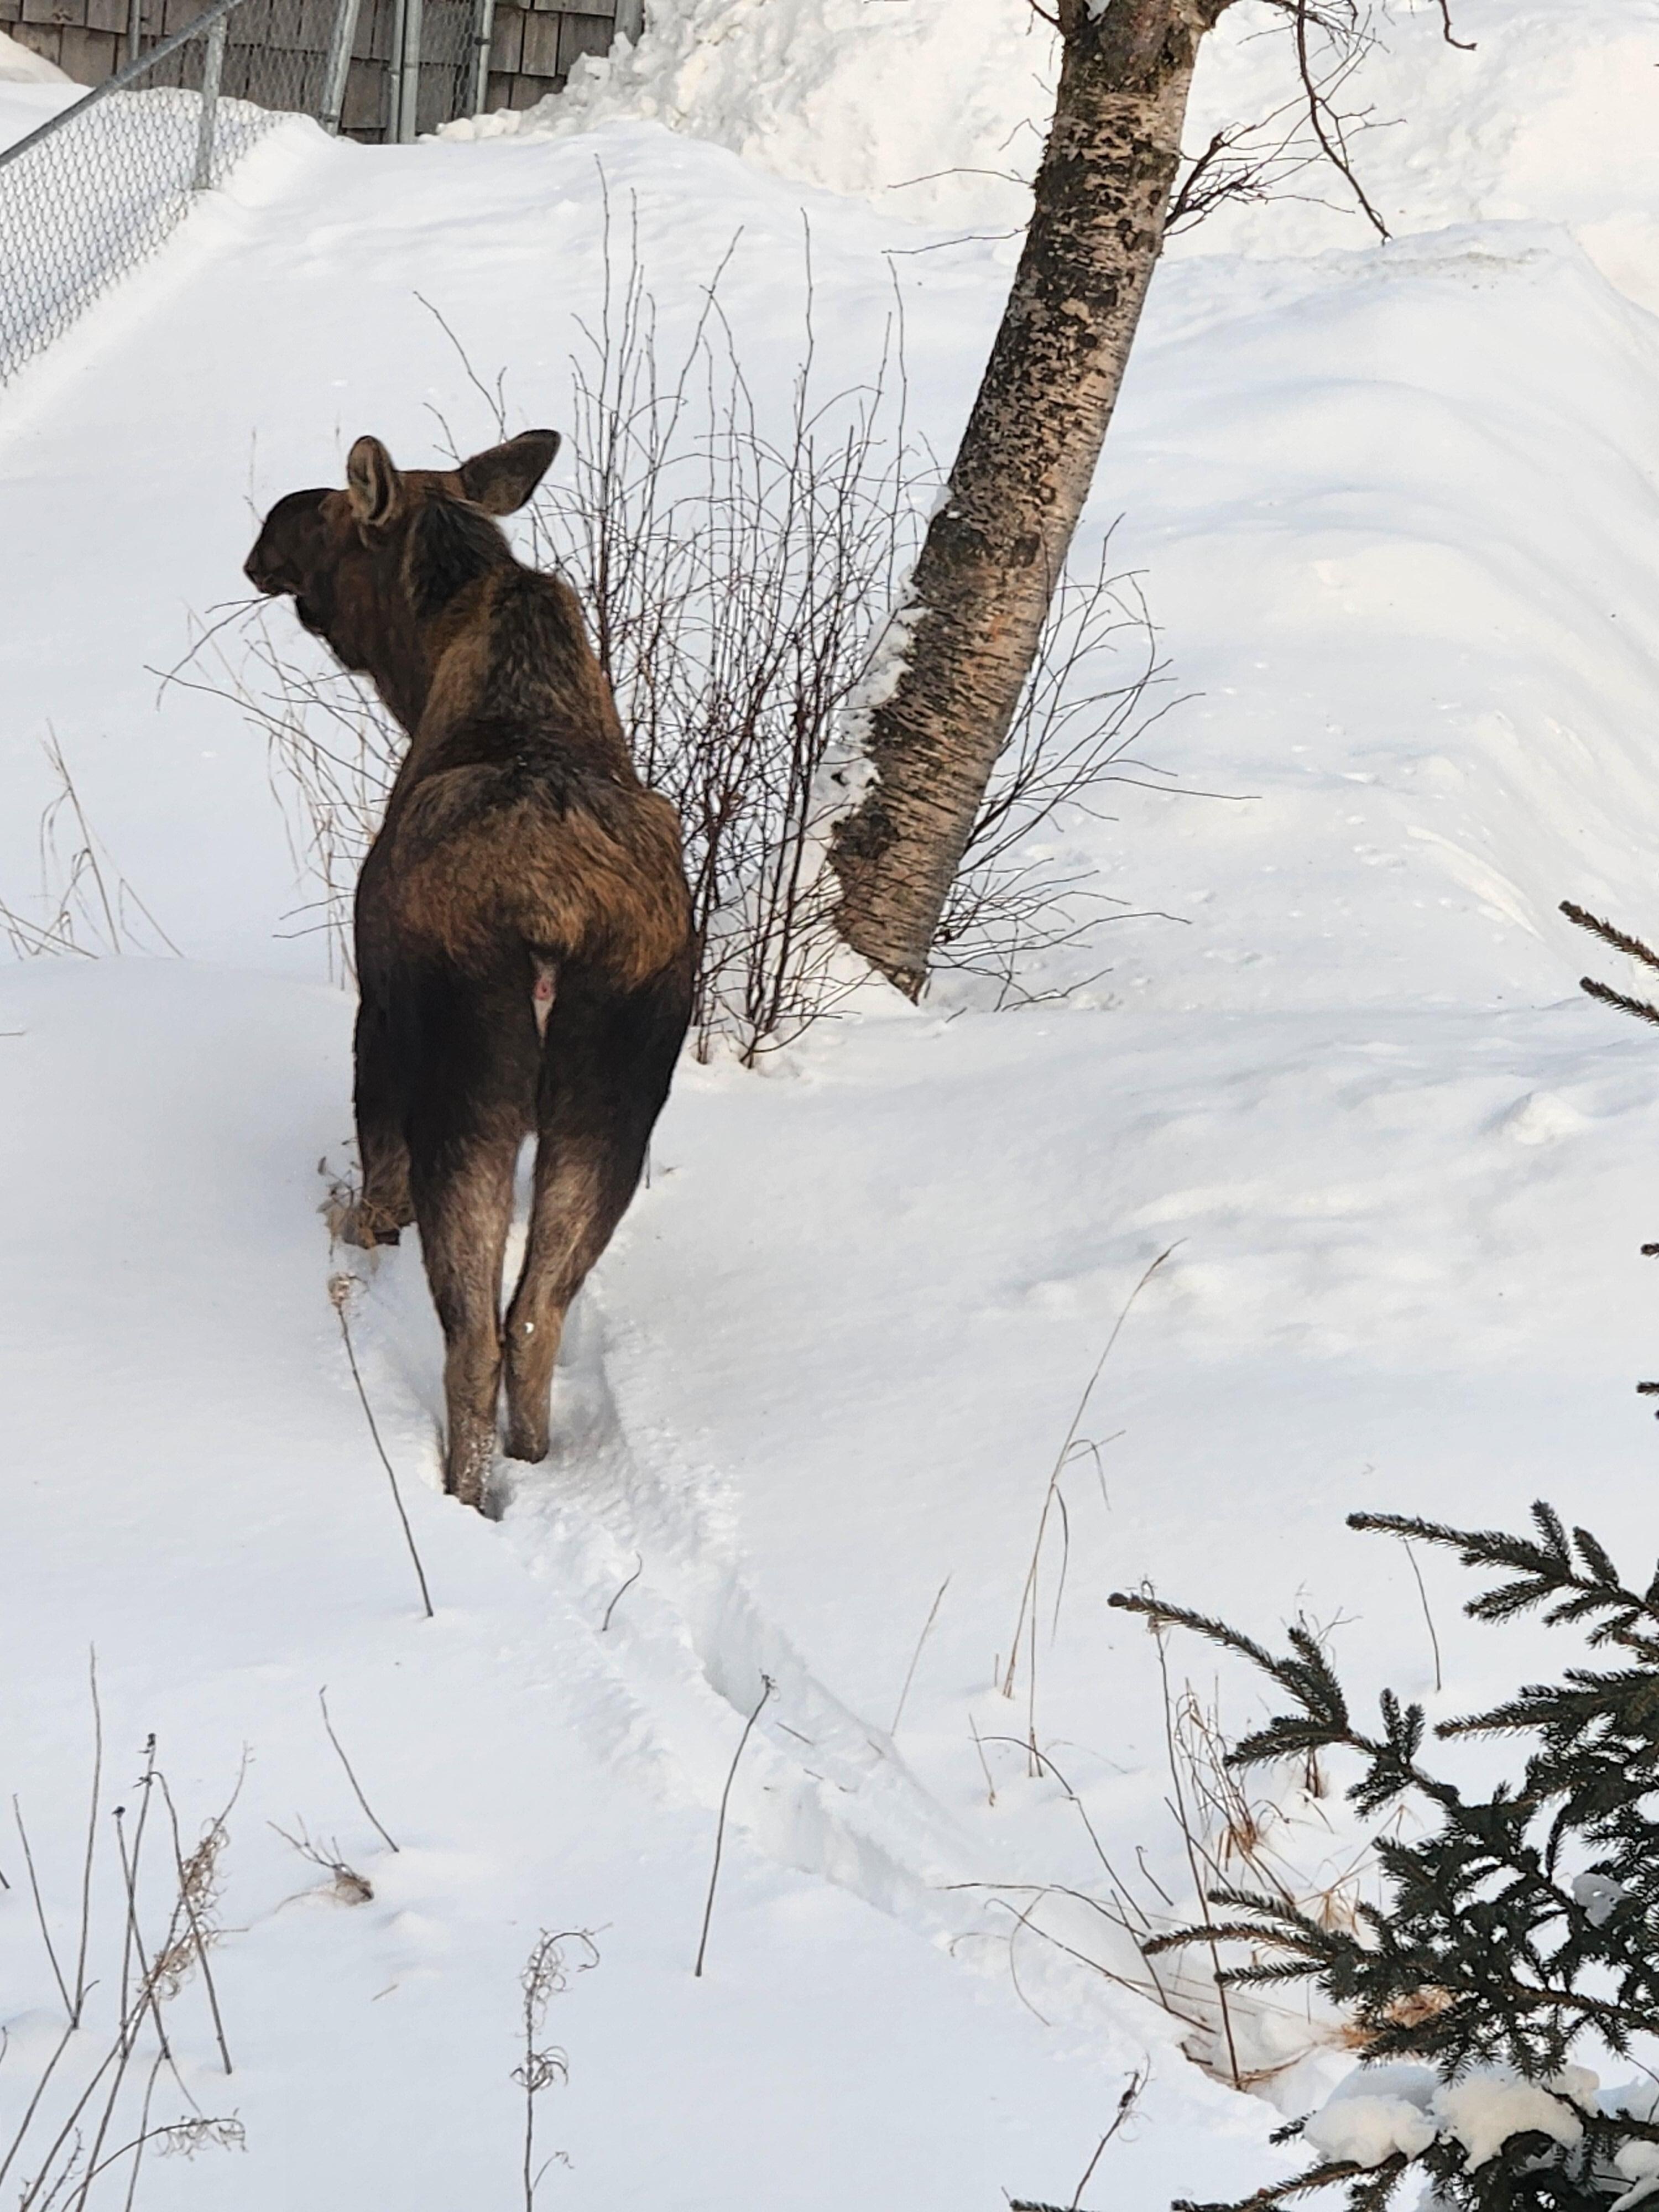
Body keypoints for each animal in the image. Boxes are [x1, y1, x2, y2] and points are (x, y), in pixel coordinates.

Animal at [246, 429, 694, 1510]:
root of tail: (554, 926)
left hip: (467, 1087)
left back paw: (461, 1488)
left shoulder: (376, 1013)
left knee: (475, 1337)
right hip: (612, 1098)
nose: (265, 534)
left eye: (333, 519)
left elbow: (378, 1185)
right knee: (534, 1320)